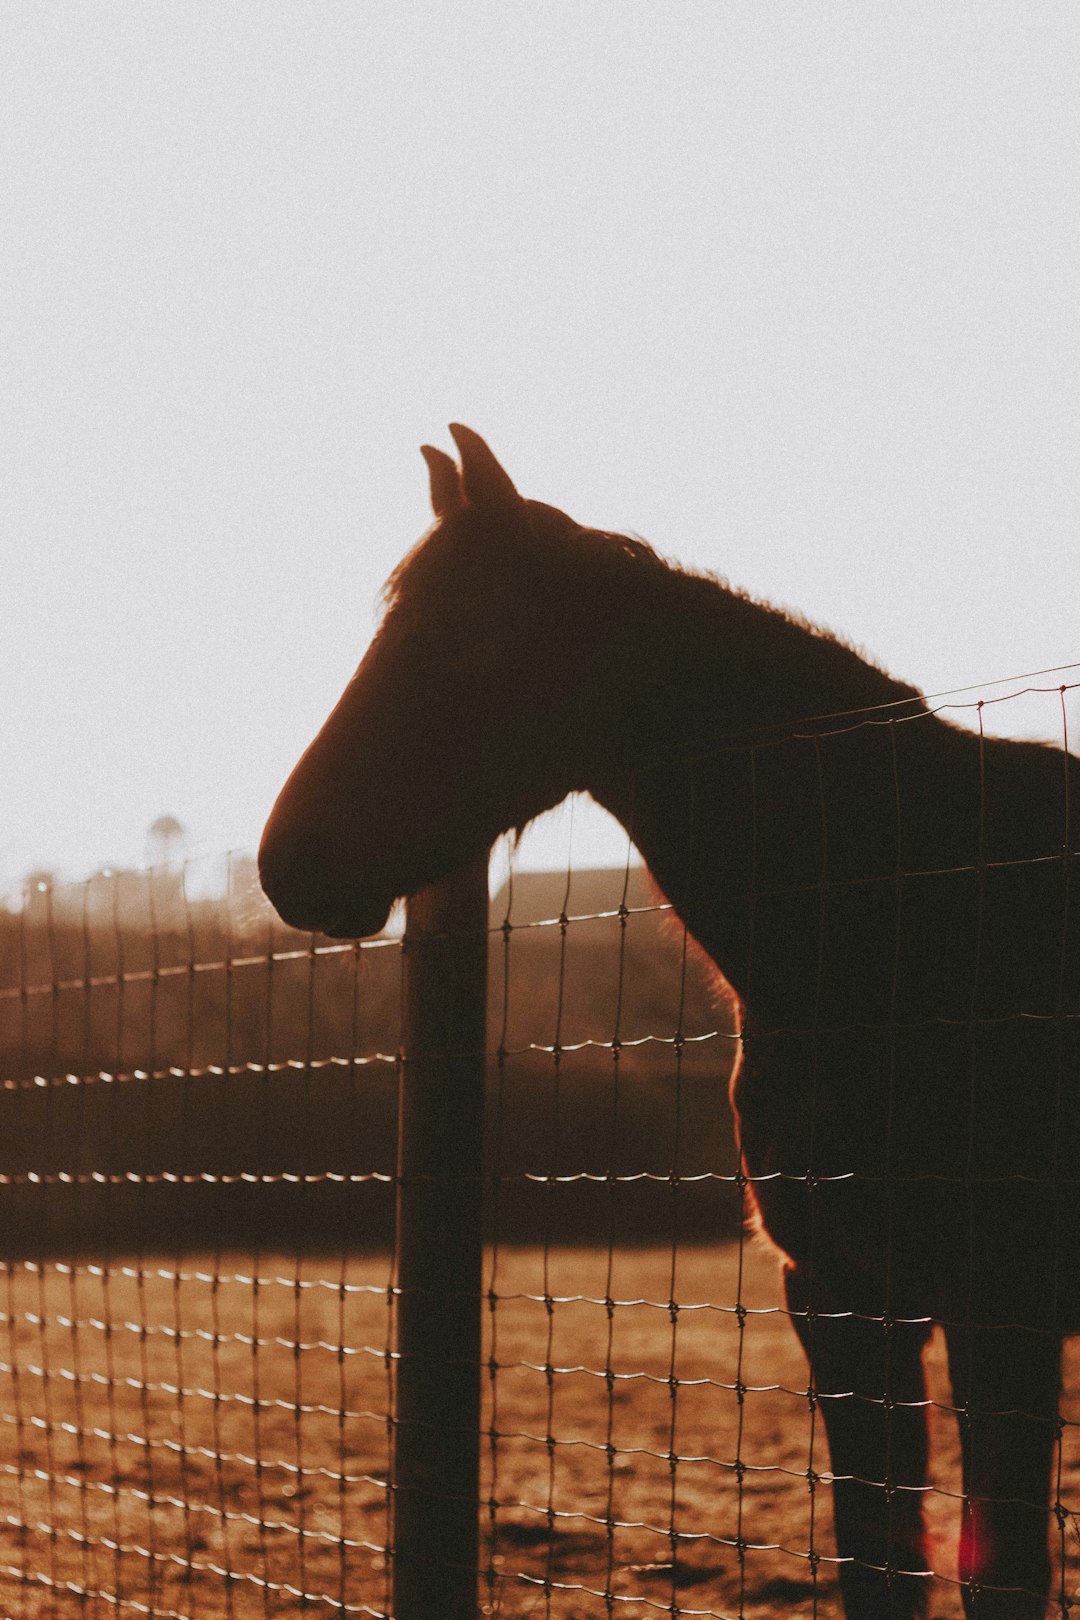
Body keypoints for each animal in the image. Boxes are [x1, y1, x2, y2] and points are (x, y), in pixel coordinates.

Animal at [262, 430, 1080, 1620]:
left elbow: (1000, 1572)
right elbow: (876, 1564)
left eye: (459, 637)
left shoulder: (998, 1308)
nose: (288, 862)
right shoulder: (841, 1300)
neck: (907, 907)